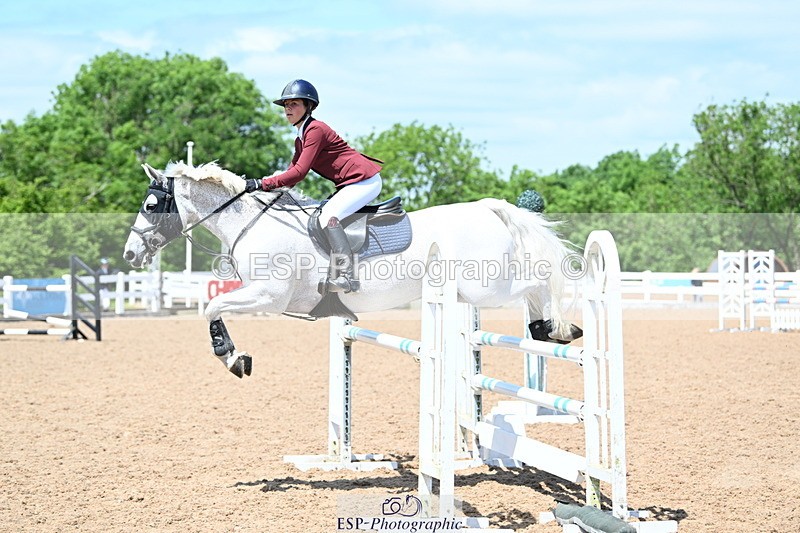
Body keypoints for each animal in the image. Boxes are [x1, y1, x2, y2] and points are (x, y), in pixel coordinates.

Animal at [123, 162, 581, 378]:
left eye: (150, 205)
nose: (129, 254)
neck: (251, 222)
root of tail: (489, 208)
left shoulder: (268, 296)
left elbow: (210, 308)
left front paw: (232, 358)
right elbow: (211, 305)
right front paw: (235, 357)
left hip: (486, 288)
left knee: (539, 279)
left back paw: (558, 327)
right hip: (475, 291)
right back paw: (545, 330)